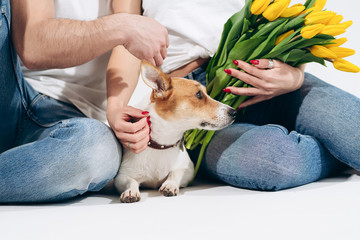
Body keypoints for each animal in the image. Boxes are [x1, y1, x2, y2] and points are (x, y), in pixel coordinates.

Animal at [114, 60, 236, 202]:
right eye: (199, 94)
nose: (234, 112)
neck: (162, 144)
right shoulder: (122, 176)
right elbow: (130, 181)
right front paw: (130, 191)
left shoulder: (188, 170)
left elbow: (176, 172)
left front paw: (170, 185)